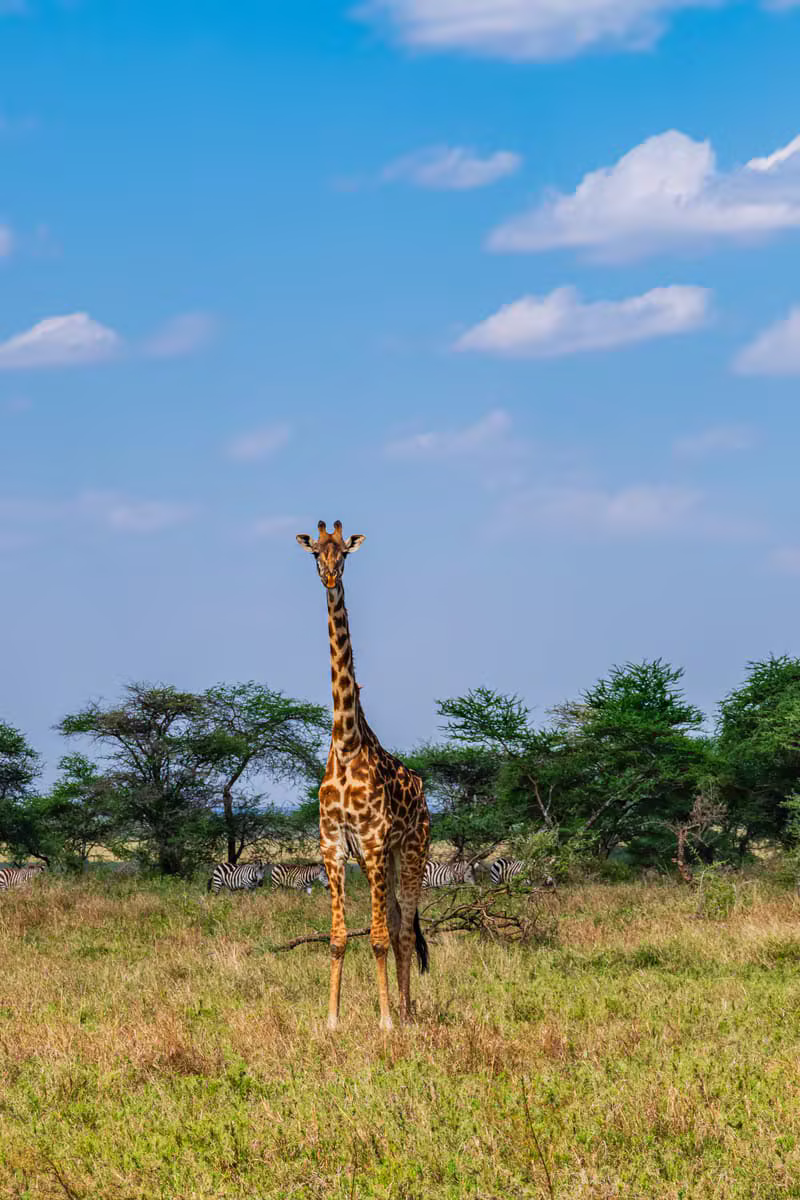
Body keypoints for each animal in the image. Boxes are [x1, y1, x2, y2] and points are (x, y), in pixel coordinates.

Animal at [296, 520, 431, 1031]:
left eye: (345, 554)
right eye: (316, 552)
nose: (330, 578)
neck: (346, 744)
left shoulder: (372, 845)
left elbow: (375, 938)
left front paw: (386, 1021)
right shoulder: (332, 846)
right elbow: (337, 938)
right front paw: (331, 1021)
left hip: (411, 851)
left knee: (405, 929)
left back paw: (407, 1013)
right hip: (391, 859)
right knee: (397, 925)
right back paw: (404, 1008)